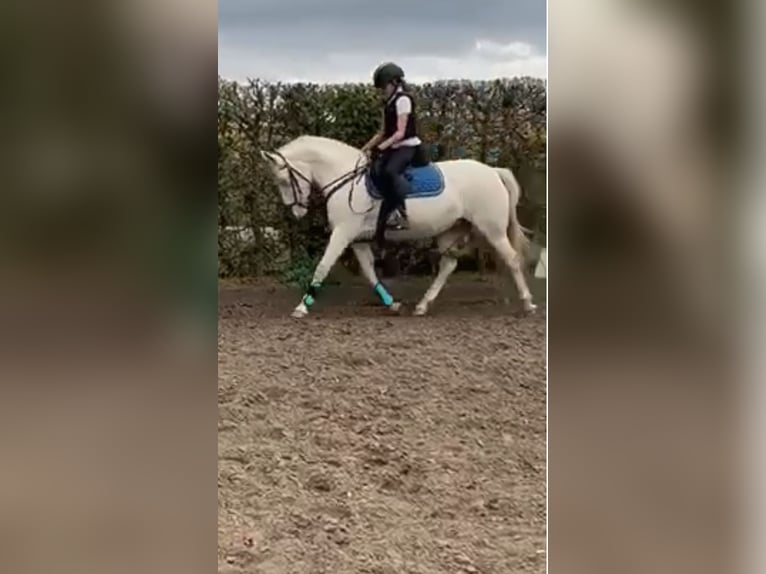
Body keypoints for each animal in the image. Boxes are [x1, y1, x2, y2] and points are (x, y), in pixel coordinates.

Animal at [260, 136, 536, 320]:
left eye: (284, 180)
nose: (296, 212)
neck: (347, 178)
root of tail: (493, 171)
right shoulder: (357, 238)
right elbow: (369, 271)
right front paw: (391, 303)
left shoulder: (343, 233)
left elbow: (323, 266)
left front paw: (302, 306)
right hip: (451, 230)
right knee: (448, 265)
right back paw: (423, 305)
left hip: (492, 229)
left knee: (512, 259)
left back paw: (528, 303)